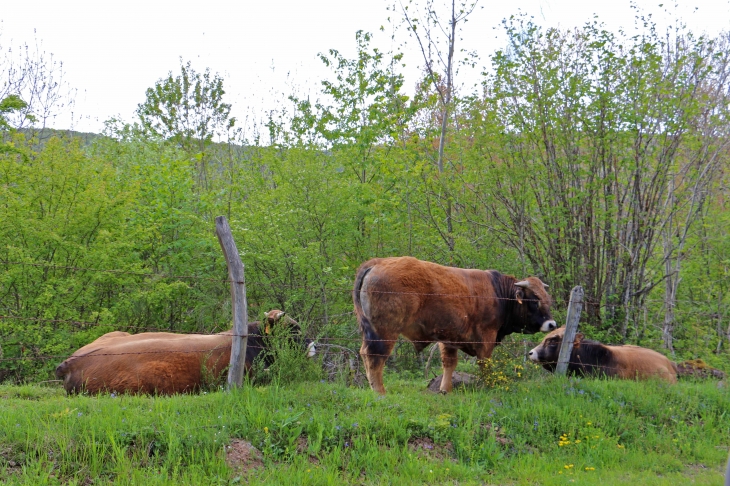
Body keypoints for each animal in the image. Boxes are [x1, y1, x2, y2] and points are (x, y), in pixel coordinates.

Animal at [352, 256, 552, 392]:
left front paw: (444, 390)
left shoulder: (449, 339)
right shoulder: (486, 337)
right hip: (385, 333)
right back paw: (380, 393)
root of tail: (377, 263)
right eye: (534, 300)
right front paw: (489, 385)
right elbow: (484, 363)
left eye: (547, 298)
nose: (551, 324)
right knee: (374, 358)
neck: (499, 292)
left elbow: (449, 363)